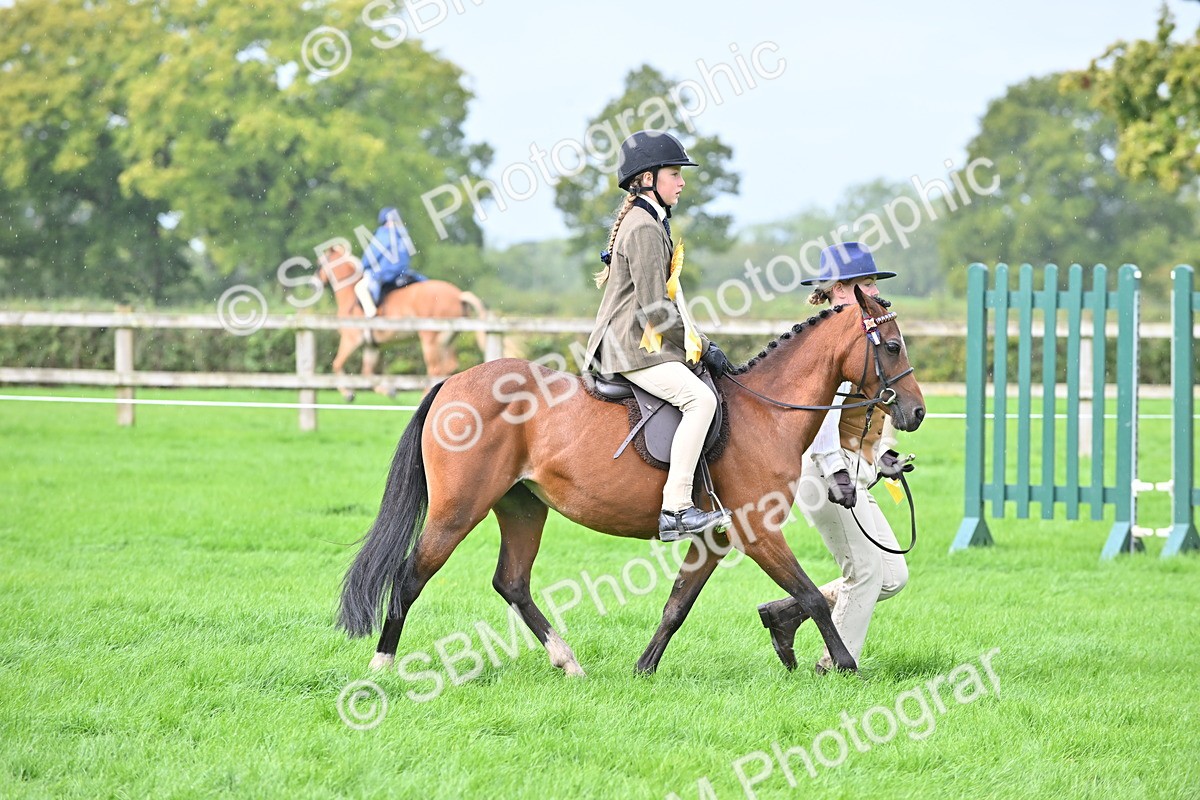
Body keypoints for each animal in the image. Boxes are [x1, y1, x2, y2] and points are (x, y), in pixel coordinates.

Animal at [316, 246, 487, 400]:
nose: (314, 283)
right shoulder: (371, 347)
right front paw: (388, 391)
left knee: (435, 369)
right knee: (449, 367)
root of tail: (458, 294)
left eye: (319, 263)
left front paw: (348, 393)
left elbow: (337, 364)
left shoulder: (351, 340)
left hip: (430, 340)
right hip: (447, 340)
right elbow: (367, 373)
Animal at [337, 286, 925, 677]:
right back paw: (382, 665)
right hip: (459, 509)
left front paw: (644, 669)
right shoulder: (757, 532)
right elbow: (811, 596)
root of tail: (452, 382)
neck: (766, 411)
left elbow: (676, 605)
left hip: (522, 507)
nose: (916, 412)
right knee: (410, 576)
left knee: (512, 582)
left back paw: (567, 661)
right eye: (892, 346)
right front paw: (845, 665)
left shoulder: (714, 537)